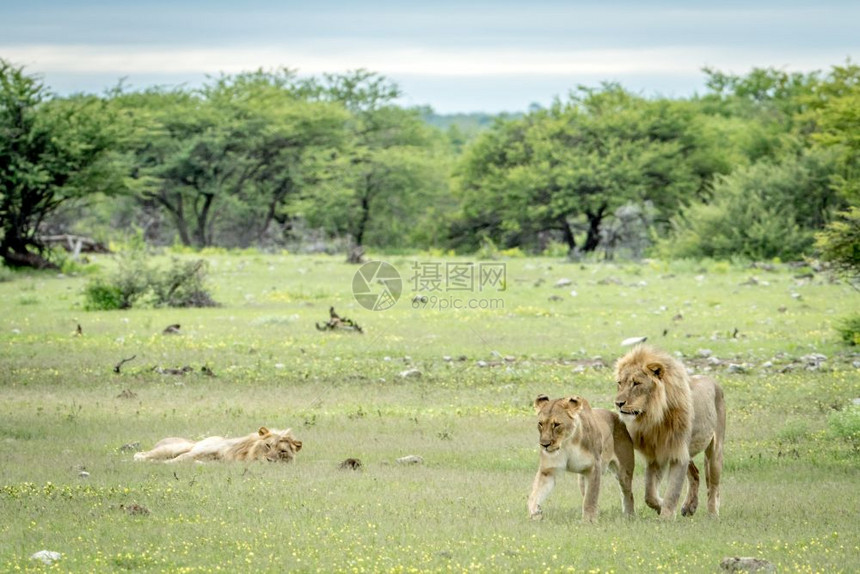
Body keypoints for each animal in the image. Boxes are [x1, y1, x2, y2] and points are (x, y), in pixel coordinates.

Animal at [612, 346, 724, 520]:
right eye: (620, 383)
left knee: (713, 486)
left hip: (715, 451)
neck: (654, 416)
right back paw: (689, 507)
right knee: (695, 473)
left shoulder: (678, 453)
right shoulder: (657, 454)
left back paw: (712, 514)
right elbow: (649, 494)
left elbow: (672, 490)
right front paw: (660, 505)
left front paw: (666, 517)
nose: (618, 403)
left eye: (636, 383)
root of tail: (713, 381)